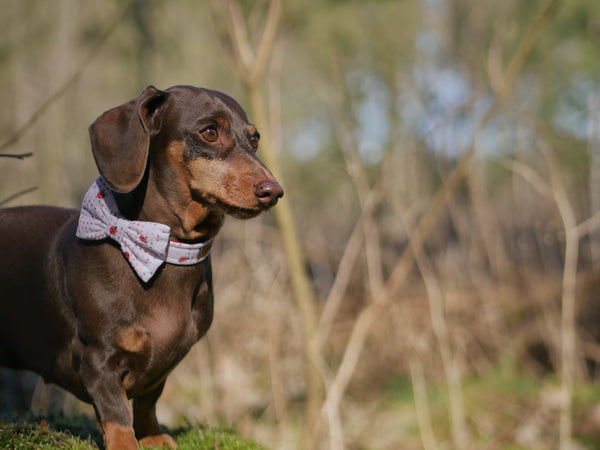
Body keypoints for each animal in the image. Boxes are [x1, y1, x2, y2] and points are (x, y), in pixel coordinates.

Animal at [0, 86, 282, 448]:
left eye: (255, 138)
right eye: (209, 132)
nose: (274, 192)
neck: (164, 253)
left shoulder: (163, 365)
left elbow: (148, 400)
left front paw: (152, 436)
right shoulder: (98, 360)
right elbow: (117, 414)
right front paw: (126, 442)